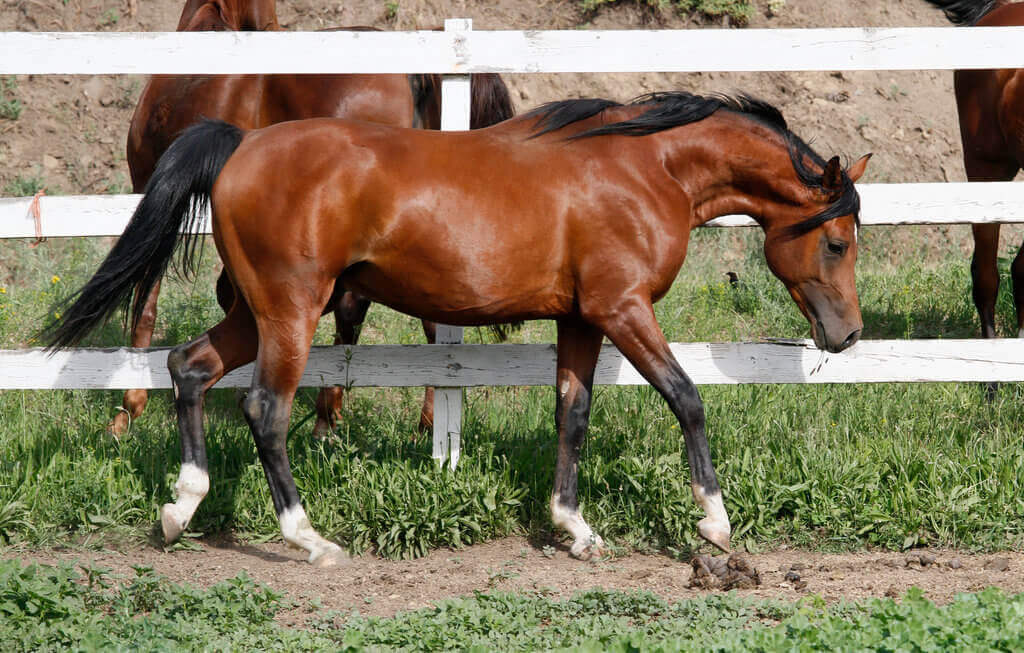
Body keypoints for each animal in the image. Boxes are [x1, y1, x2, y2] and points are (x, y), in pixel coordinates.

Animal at [44, 92, 868, 569]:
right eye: (836, 241)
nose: (849, 336)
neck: (646, 167)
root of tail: (243, 145)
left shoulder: (581, 317)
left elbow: (572, 414)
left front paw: (574, 528)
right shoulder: (623, 309)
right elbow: (687, 398)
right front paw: (715, 523)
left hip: (257, 311)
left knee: (188, 366)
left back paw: (178, 509)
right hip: (291, 310)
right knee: (264, 410)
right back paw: (311, 540)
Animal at [117, 1, 516, 440]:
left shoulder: (148, 188)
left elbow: (146, 300)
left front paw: (128, 411)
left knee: (354, 306)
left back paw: (335, 419)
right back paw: (411, 423)